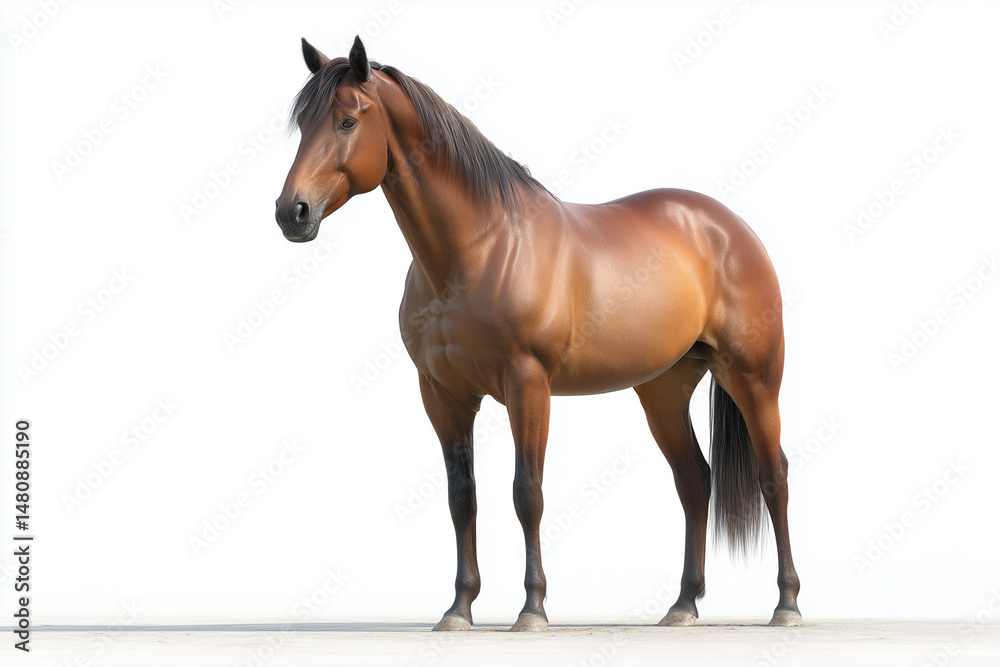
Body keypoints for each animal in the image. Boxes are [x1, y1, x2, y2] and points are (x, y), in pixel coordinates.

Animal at [275, 36, 801, 632]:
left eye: (347, 121)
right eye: (302, 124)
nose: (292, 213)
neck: (479, 250)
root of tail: (730, 228)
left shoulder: (527, 385)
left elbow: (527, 492)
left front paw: (532, 609)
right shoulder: (442, 394)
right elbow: (462, 498)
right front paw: (458, 609)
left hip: (753, 378)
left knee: (774, 476)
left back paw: (786, 605)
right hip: (663, 389)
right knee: (694, 480)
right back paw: (683, 605)